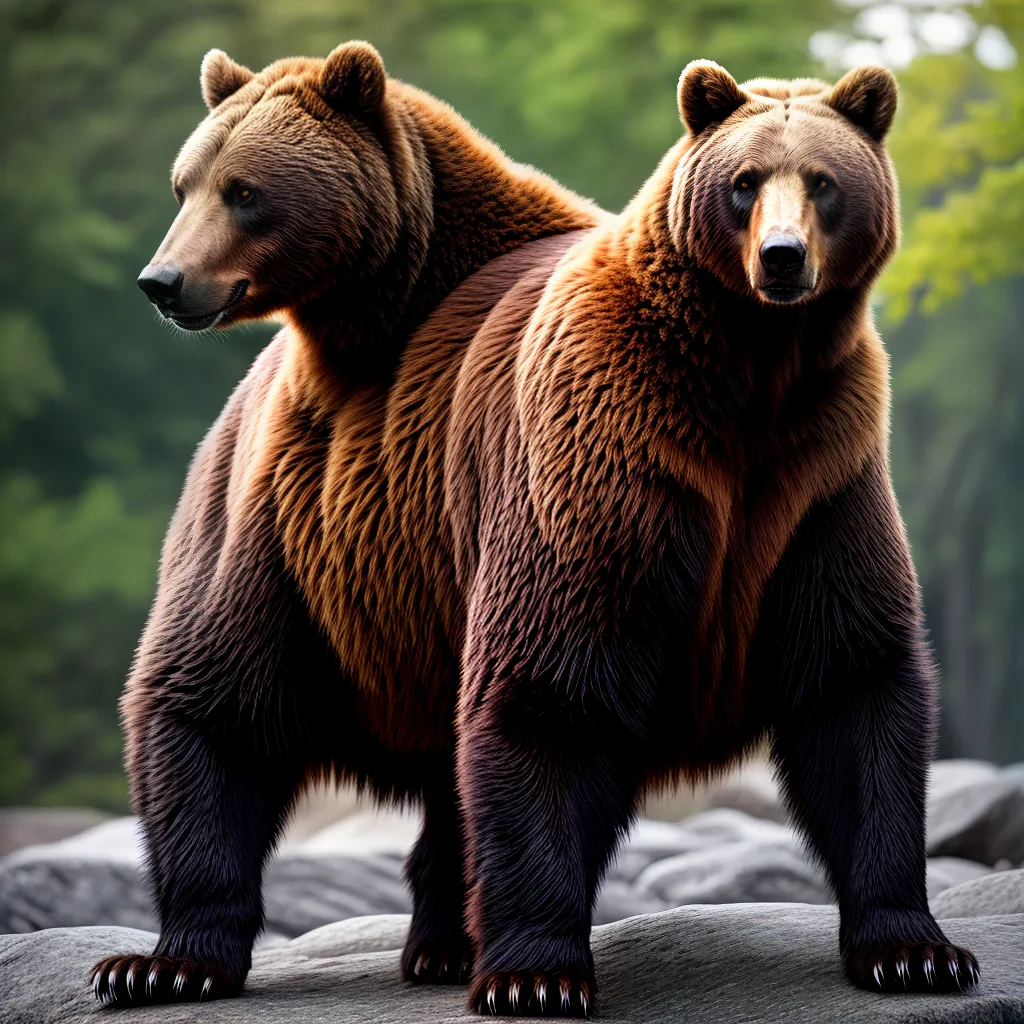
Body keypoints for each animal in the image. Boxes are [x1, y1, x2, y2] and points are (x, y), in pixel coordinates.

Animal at [90, 40, 601, 1006]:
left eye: (244, 190)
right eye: (184, 183)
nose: (163, 282)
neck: (372, 315)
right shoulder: (284, 487)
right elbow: (202, 689)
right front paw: (160, 963)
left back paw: (449, 943)